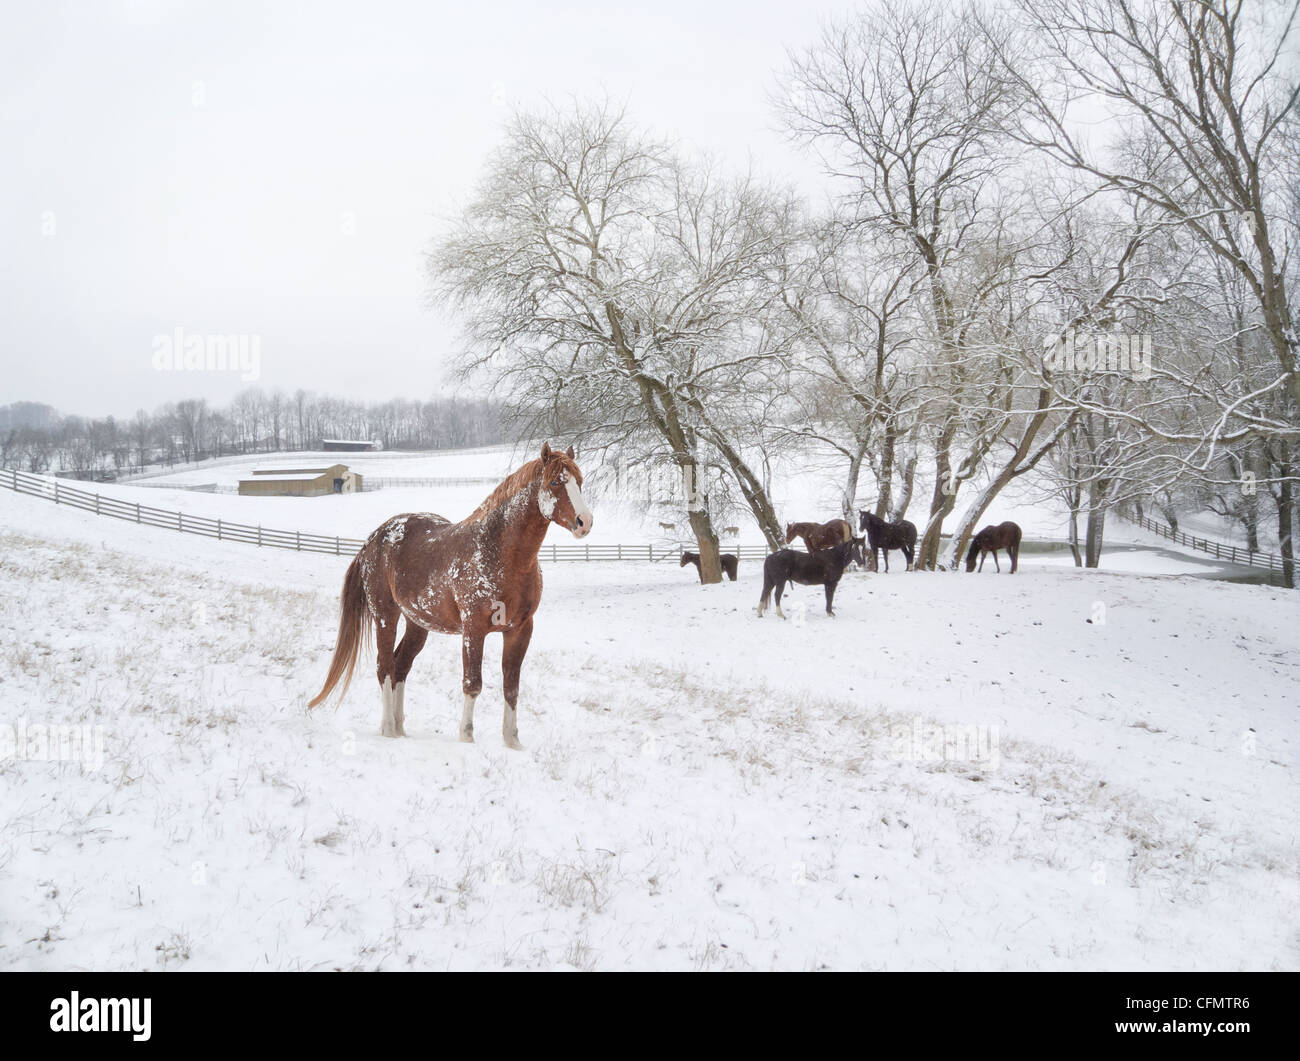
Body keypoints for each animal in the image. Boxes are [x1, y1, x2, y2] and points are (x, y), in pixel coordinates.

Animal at [306, 444, 592, 748]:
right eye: (555, 482)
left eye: (579, 482)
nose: (584, 522)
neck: (499, 552)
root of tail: (373, 540)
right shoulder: (473, 629)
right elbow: (473, 683)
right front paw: (466, 737)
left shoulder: (520, 630)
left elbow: (511, 687)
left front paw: (512, 742)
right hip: (385, 616)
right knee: (384, 667)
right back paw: (388, 729)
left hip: (417, 624)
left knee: (400, 667)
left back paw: (400, 728)